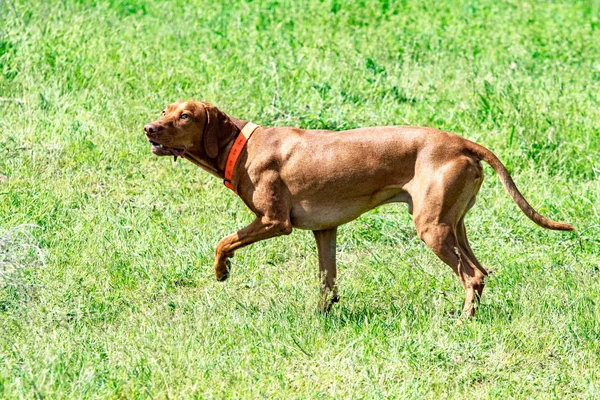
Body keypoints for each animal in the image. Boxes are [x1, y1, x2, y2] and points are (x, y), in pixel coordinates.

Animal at [143, 100, 576, 316]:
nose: (148, 128)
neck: (241, 144)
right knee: (481, 272)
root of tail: (461, 142)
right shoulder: (324, 230)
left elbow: (223, 241)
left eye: (185, 116)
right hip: (454, 225)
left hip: (431, 229)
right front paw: (321, 317)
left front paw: (222, 271)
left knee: (471, 275)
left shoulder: (273, 221)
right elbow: (327, 280)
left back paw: (464, 319)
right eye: (164, 110)